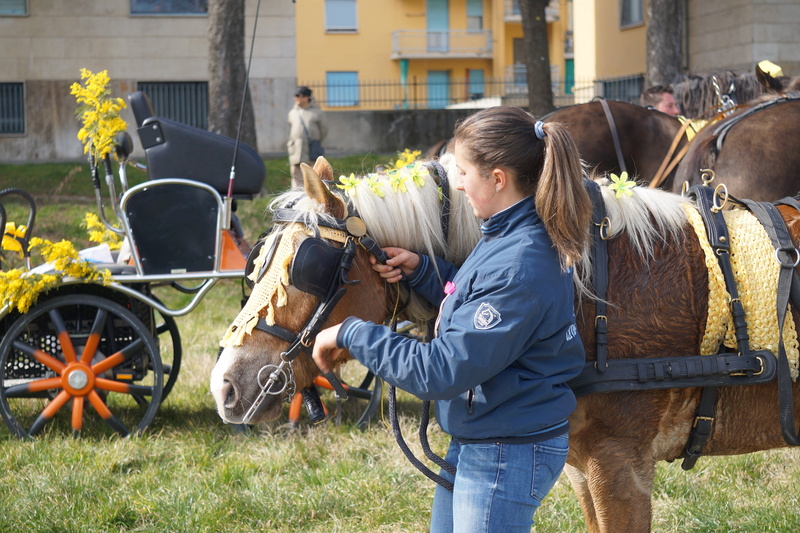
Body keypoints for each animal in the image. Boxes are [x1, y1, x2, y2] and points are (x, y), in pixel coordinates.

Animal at [210, 157, 800, 532]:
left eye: (307, 266)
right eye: (258, 261)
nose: (226, 385)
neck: (592, 284)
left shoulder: (621, 461)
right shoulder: (584, 465)